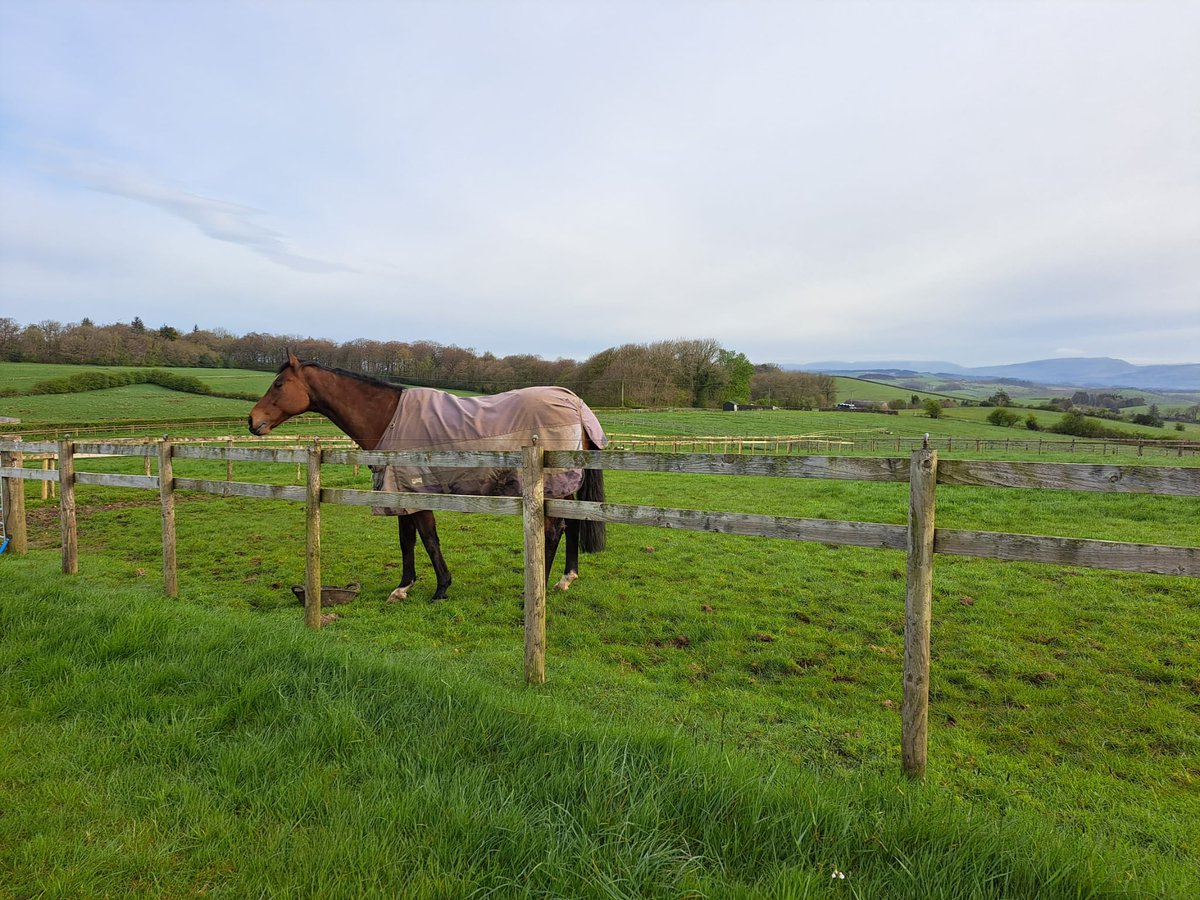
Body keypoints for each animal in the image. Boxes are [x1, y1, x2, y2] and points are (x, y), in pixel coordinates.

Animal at [248, 351, 606, 601]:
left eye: (279, 384)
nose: (252, 421)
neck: (390, 418)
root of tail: (575, 402)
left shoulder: (416, 491)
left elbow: (428, 539)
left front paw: (440, 589)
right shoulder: (400, 492)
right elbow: (407, 540)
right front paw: (403, 587)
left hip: (553, 486)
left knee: (554, 531)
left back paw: (535, 590)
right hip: (564, 487)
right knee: (573, 523)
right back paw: (565, 579)